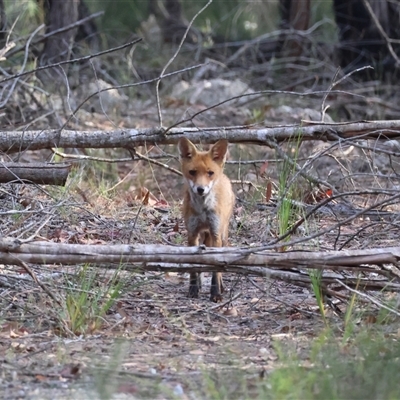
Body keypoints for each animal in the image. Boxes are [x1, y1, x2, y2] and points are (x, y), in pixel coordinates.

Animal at [178, 138, 234, 304]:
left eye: (210, 173)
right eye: (192, 172)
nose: (200, 189)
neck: (203, 210)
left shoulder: (215, 233)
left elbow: (216, 268)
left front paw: (215, 293)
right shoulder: (192, 233)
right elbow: (195, 266)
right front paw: (193, 289)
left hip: (222, 235)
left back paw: (221, 286)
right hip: (204, 235)